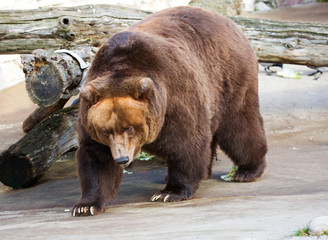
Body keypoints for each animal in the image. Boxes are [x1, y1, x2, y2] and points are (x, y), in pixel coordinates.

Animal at [71, 5, 266, 217]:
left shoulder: (174, 95)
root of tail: (231, 23)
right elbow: (96, 158)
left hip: (229, 78)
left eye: (129, 127)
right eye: (106, 131)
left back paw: (247, 170)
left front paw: (170, 192)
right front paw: (86, 205)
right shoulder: (90, 118)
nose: (122, 159)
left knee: (239, 126)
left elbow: (186, 142)